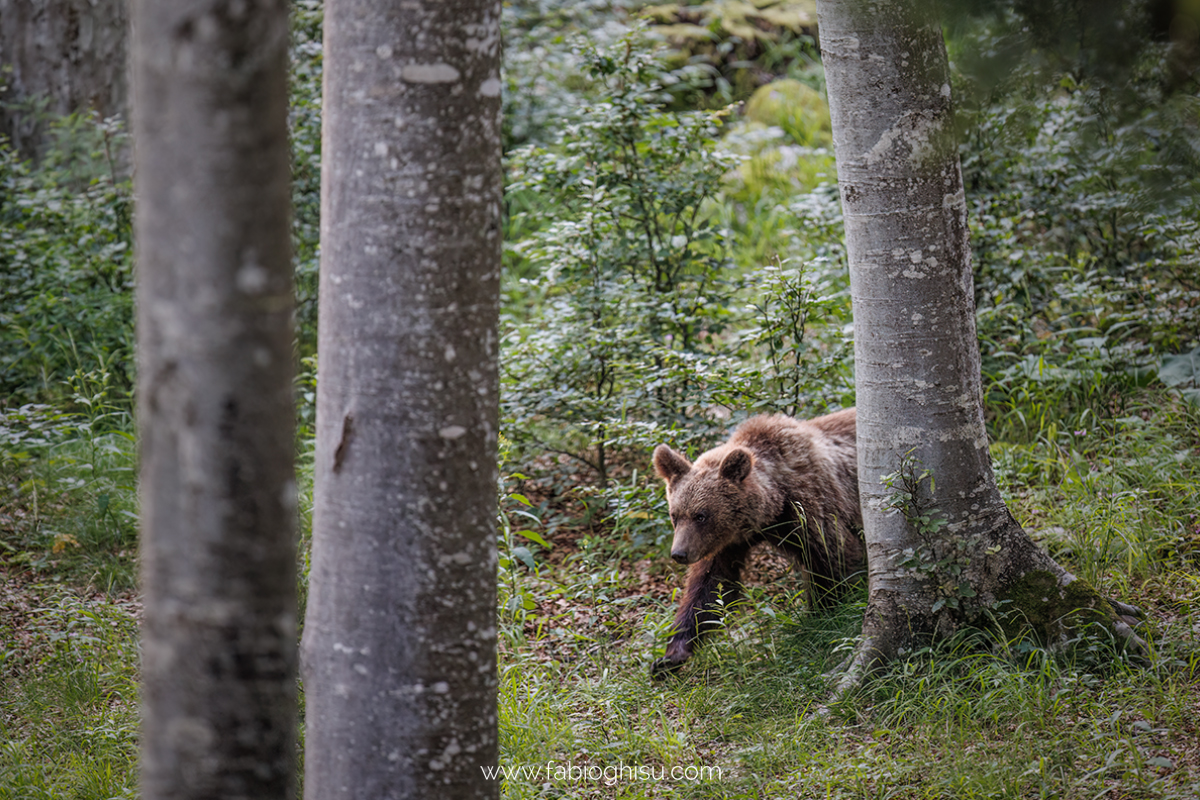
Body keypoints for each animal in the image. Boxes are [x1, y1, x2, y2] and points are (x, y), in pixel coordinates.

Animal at [657, 407, 864, 676]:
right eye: (675, 515)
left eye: (701, 515)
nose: (679, 553)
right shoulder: (728, 543)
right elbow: (710, 587)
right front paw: (671, 654)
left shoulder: (813, 510)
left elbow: (835, 560)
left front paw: (825, 614)